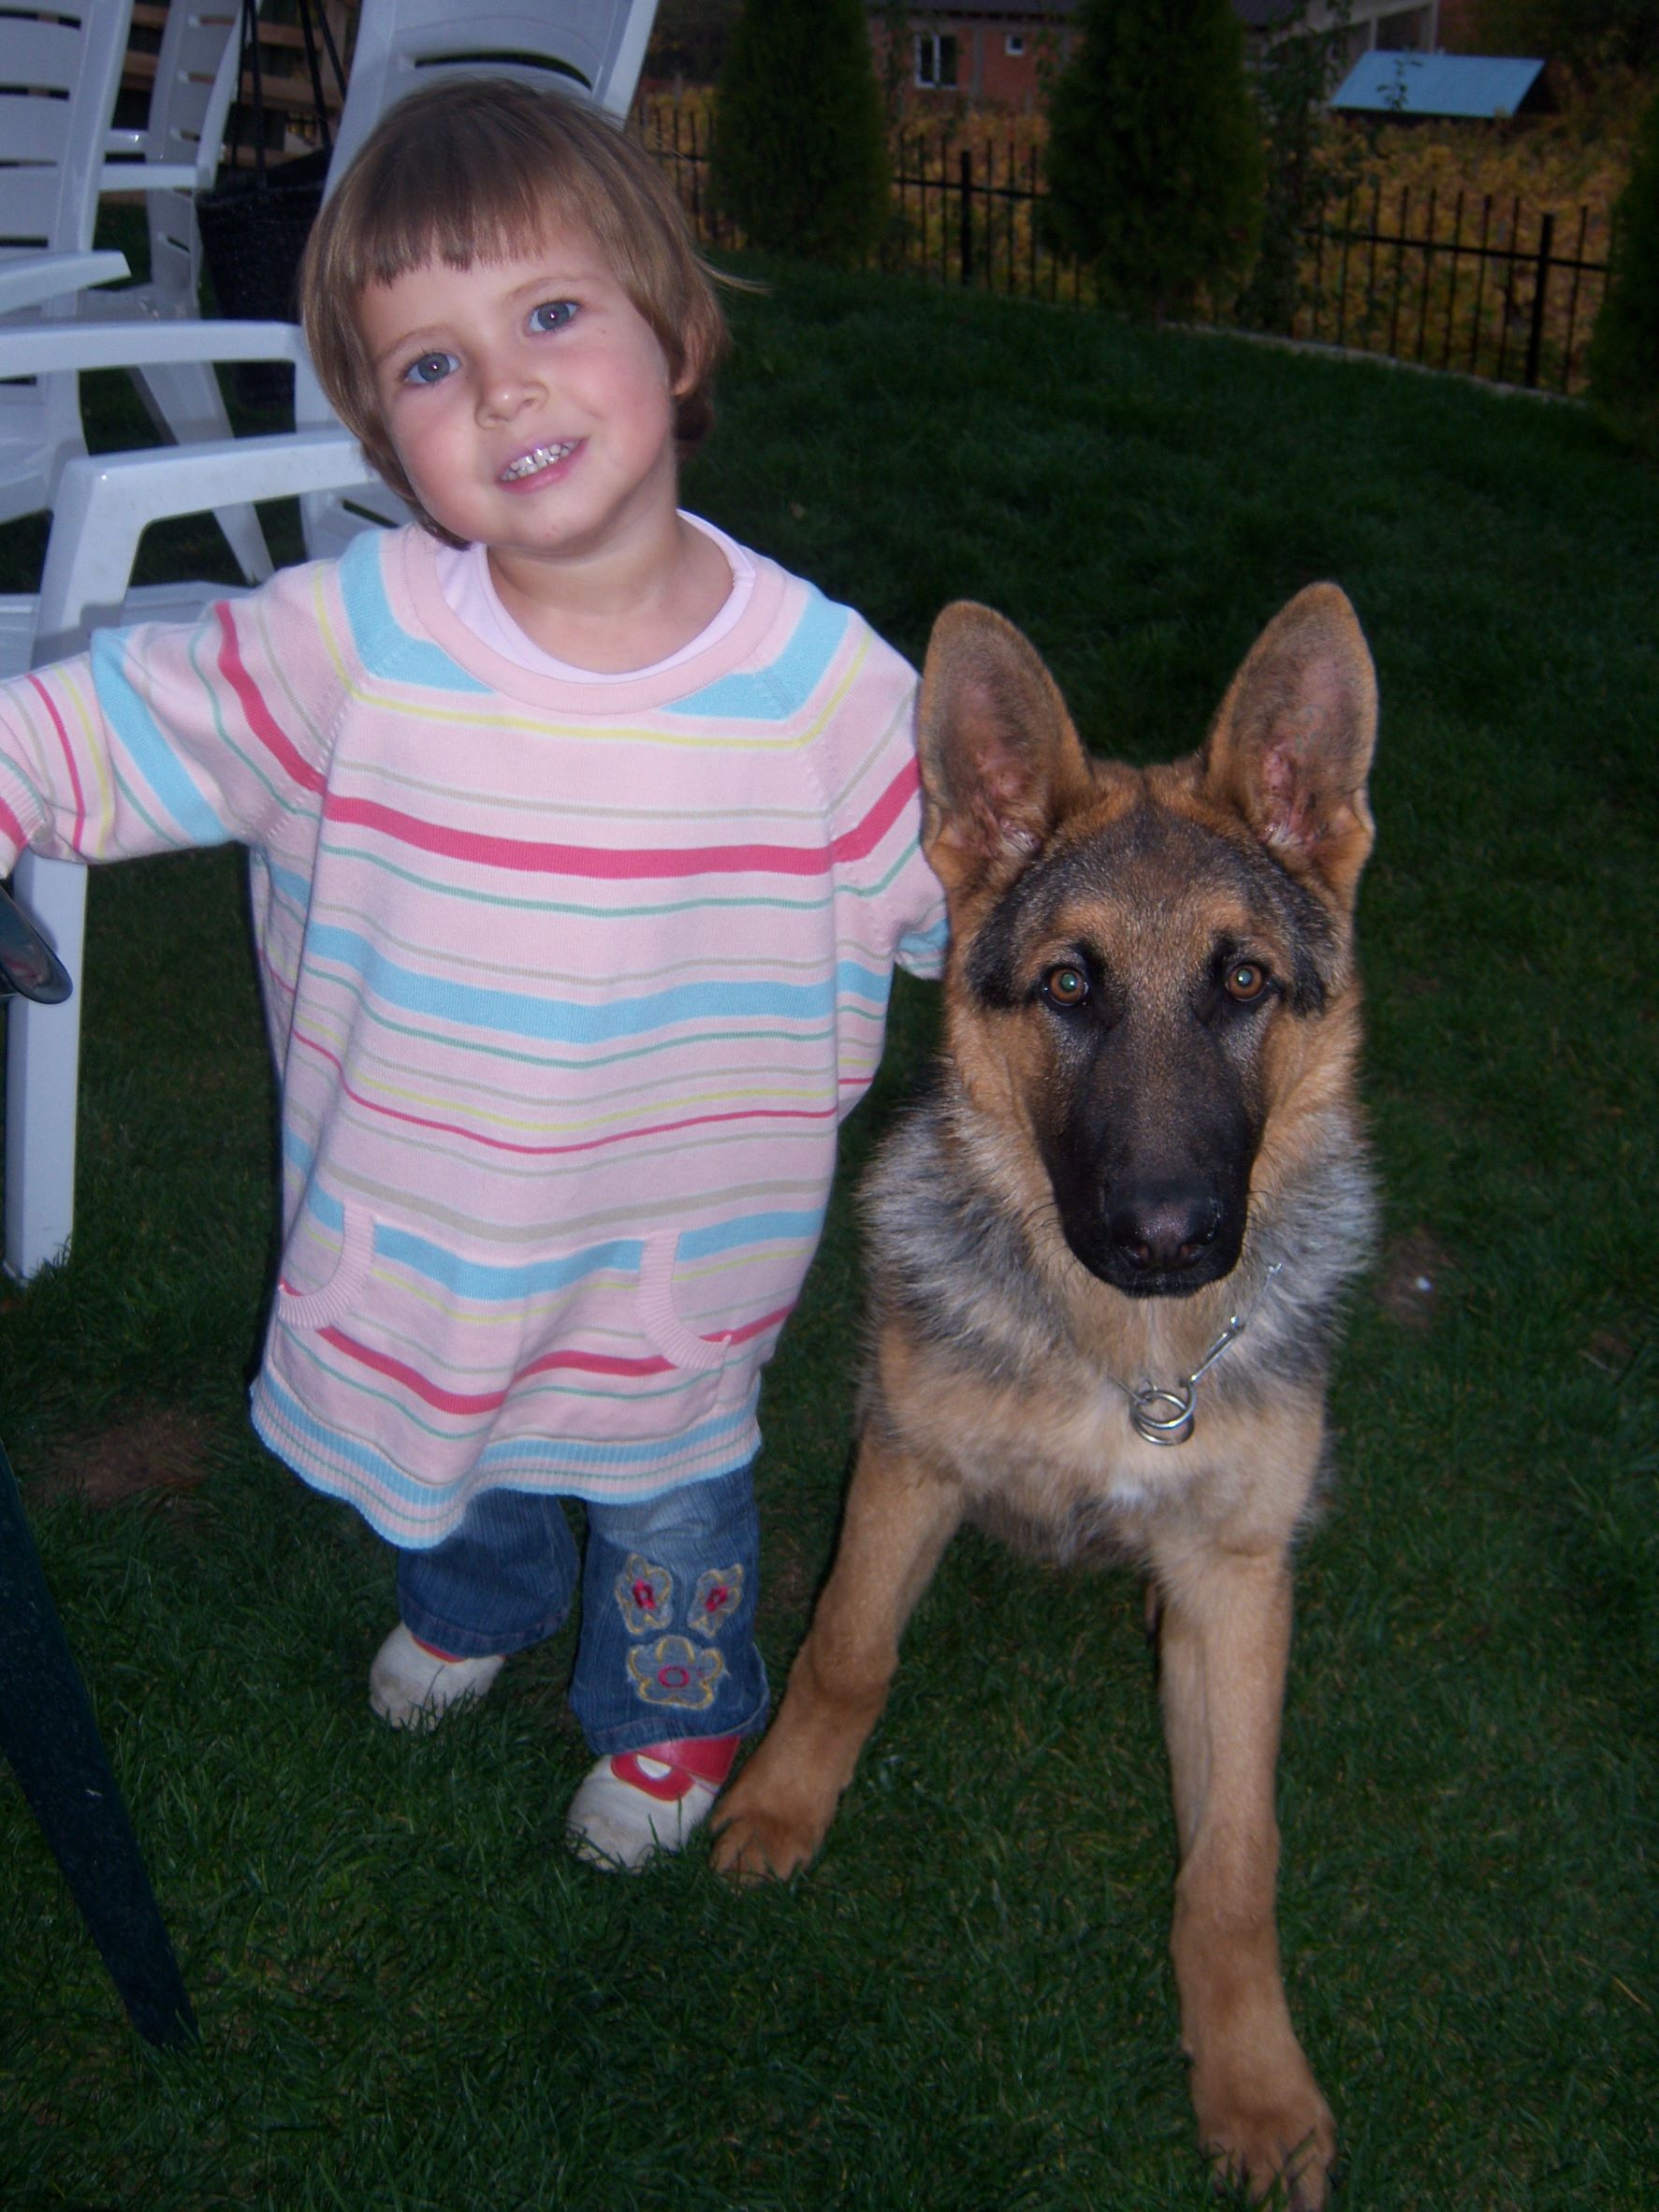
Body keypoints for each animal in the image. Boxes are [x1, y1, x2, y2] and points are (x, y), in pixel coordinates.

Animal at [712, 586, 1379, 2209]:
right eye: (1069, 985)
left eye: (1244, 981)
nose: (1166, 1238)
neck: (1133, 1363)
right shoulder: (906, 1468)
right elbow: (845, 1654)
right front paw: (781, 1806)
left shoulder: (1235, 1584)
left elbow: (1233, 1862)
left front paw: (1253, 2084)